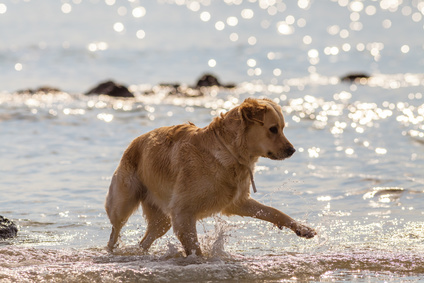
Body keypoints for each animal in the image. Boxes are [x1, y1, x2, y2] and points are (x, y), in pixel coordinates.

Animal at [105, 98, 316, 258]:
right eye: (273, 129)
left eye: (282, 128)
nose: (292, 150)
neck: (229, 153)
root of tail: (134, 141)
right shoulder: (182, 213)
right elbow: (194, 248)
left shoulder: (237, 202)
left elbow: (274, 211)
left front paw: (302, 228)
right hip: (123, 203)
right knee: (115, 231)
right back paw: (111, 250)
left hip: (161, 219)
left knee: (145, 240)